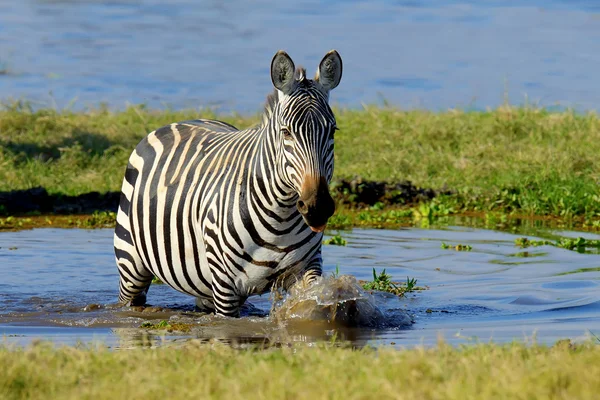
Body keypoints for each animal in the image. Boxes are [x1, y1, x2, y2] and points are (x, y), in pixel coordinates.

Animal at [112, 50, 342, 318]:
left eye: (332, 131)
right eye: (286, 133)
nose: (317, 207)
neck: (281, 216)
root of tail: (177, 122)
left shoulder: (307, 268)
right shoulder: (224, 286)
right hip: (131, 265)